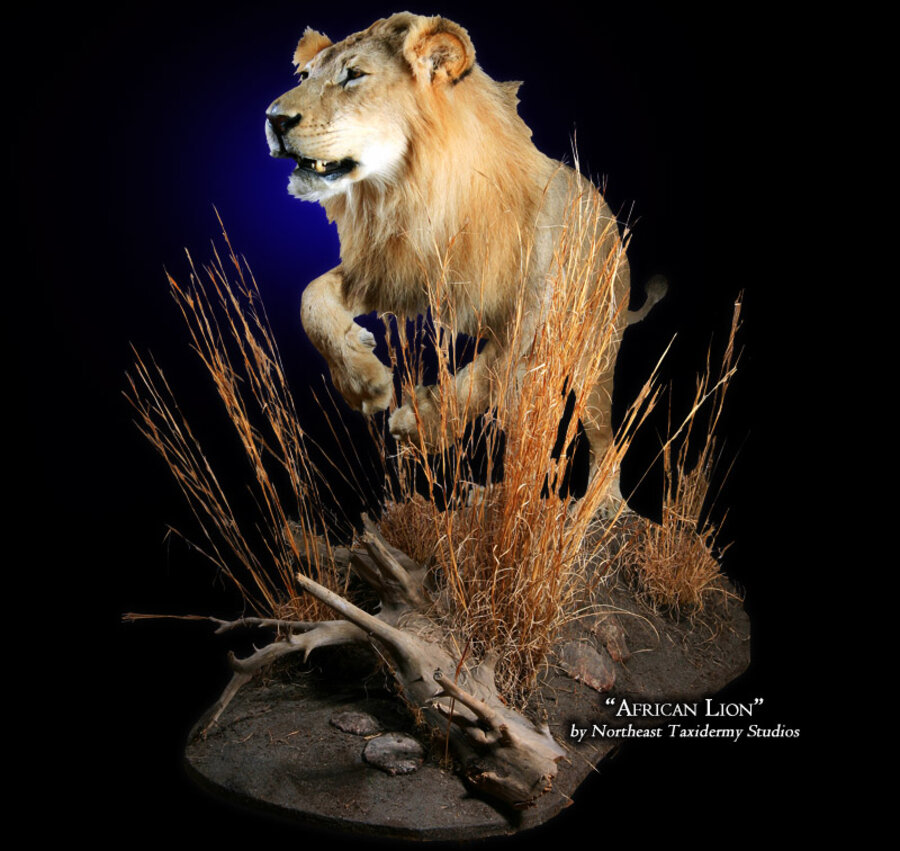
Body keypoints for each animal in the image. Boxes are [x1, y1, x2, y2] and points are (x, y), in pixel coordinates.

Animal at [265, 12, 664, 501]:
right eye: (304, 76)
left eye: (354, 75)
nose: (273, 119)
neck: (411, 192)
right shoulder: (392, 273)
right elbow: (312, 299)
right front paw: (364, 382)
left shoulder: (532, 306)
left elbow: (486, 373)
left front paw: (420, 422)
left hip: (595, 351)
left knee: (604, 436)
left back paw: (599, 505)